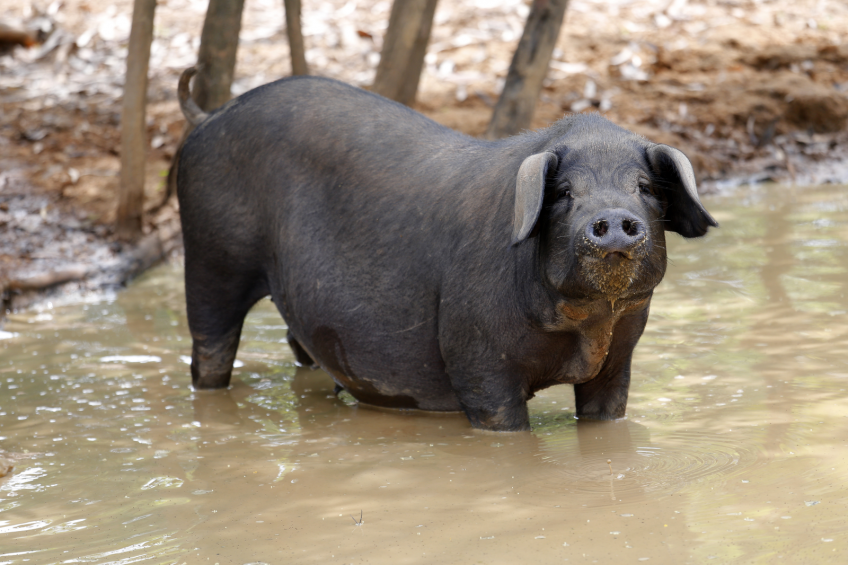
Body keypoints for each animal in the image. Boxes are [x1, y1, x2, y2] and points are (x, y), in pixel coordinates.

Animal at [177, 69, 716, 432]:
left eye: (644, 187)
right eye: (564, 193)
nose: (612, 219)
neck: (587, 326)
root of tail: (209, 115)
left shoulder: (618, 359)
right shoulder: (477, 359)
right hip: (210, 256)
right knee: (209, 348)